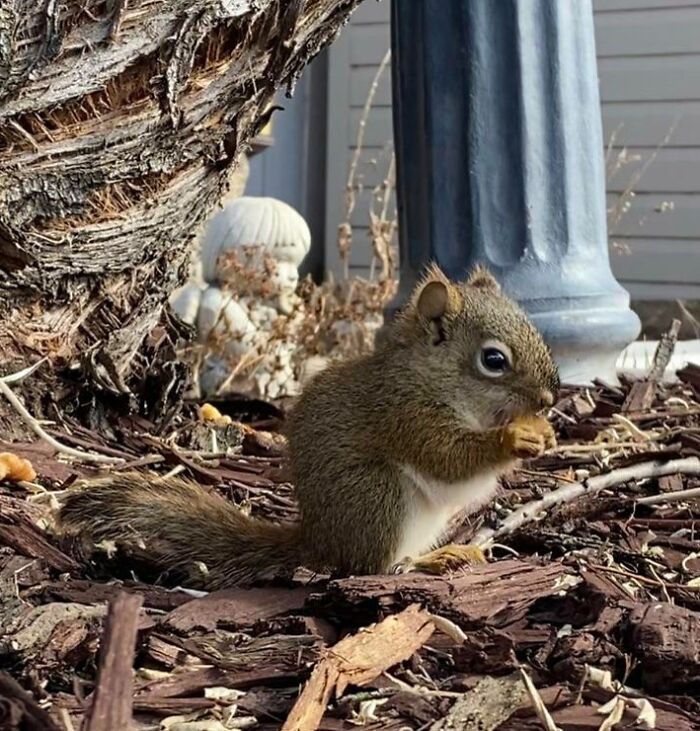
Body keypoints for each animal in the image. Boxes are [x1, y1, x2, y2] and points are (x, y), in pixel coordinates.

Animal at [61, 264, 564, 588]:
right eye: (493, 360)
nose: (549, 400)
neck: (431, 377)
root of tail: (318, 539)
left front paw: (546, 433)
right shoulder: (405, 415)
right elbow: (449, 459)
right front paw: (514, 437)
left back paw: (447, 553)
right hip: (378, 497)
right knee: (374, 568)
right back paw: (426, 563)